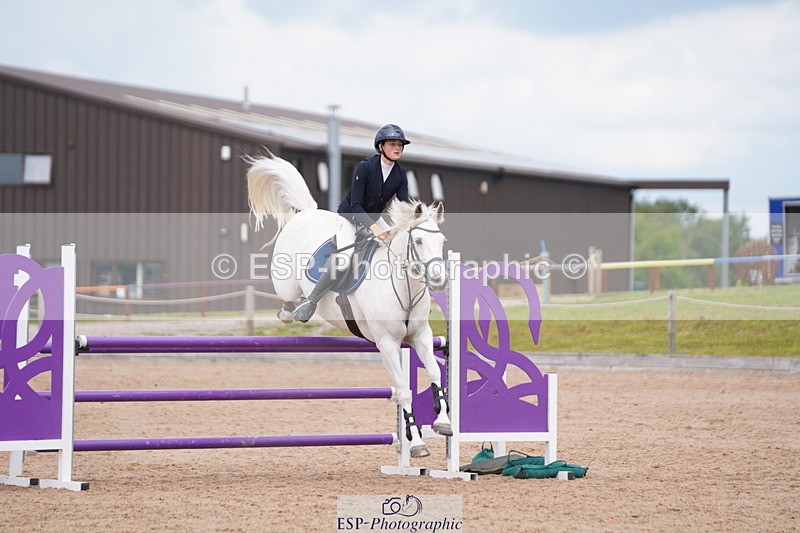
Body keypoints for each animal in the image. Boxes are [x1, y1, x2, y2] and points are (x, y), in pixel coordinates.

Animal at [246, 152, 451, 458]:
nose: (439, 280)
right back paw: (297, 310)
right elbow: (404, 391)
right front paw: (416, 443)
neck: (403, 286)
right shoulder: (387, 343)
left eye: (442, 241)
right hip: (286, 281)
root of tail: (306, 212)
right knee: (288, 302)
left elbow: (437, 374)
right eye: (418, 240)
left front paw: (444, 421)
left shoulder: (421, 336)